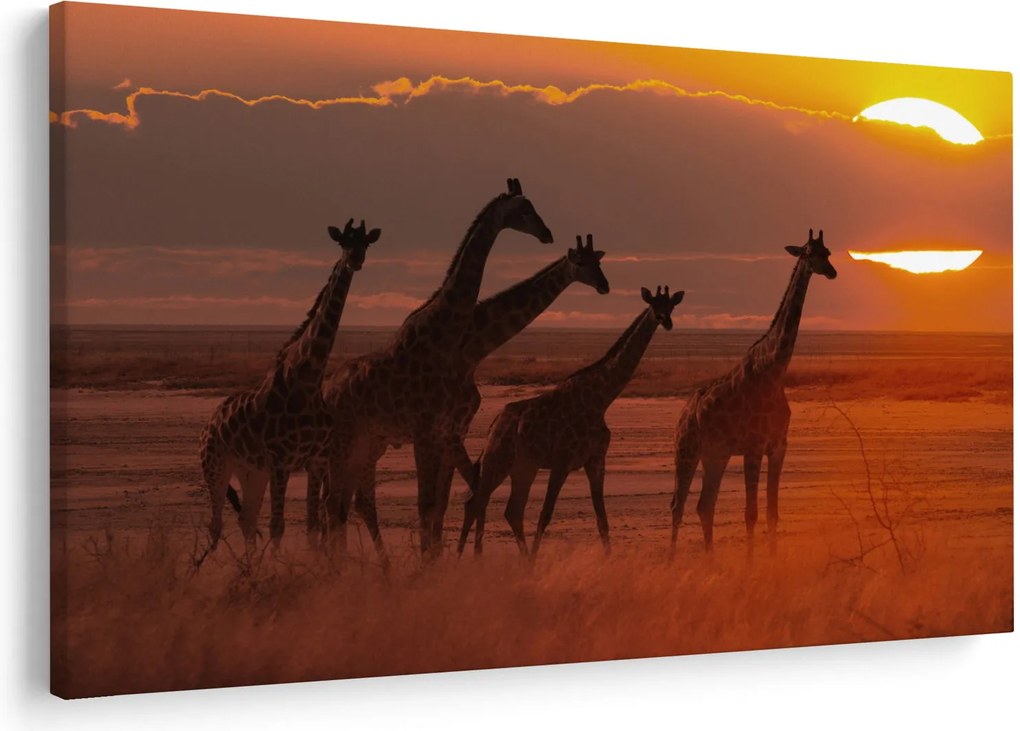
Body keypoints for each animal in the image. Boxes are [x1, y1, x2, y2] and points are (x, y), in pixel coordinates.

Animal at [198, 218, 380, 553]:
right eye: (343, 242)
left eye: (366, 243)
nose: (355, 259)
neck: (309, 377)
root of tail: (208, 424)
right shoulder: (281, 461)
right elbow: (278, 527)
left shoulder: (315, 460)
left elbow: (311, 525)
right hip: (215, 465)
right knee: (216, 527)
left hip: (251, 472)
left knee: (246, 521)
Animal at [316, 178, 554, 558]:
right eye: (524, 209)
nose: (547, 233)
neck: (446, 334)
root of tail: (327, 390)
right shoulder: (426, 430)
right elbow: (427, 504)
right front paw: (428, 564)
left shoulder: (444, 430)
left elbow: (439, 504)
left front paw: (436, 562)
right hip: (344, 443)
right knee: (334, 501)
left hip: (361, 443)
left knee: (340, 502)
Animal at [458, 285, 684, 557]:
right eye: (654, 304)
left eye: (671, 306)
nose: (666, 321)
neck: (600, 401)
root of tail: (494, 424)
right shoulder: (562, 461)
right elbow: (545, 514)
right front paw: (535, 560)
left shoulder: (595, 460)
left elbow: (602, 519)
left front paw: (608, 559)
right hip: (498, 460)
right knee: (475, 502)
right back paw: (464, 557)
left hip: (524, 467)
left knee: (511, 510)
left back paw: (517, 558)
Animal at [670, 229, 837, 557]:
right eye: (809, 253)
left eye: (828, 252)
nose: (832, 272)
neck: (774, 371)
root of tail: (684, 411)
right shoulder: (753, 447)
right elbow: (751, 513)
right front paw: (751, 563)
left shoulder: (779, 446)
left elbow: (772, 512)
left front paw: (771, 560)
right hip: (686, 450)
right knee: (677, 506)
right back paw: (671, 563)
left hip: (715, 455)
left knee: (704, 505)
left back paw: (711, 560)